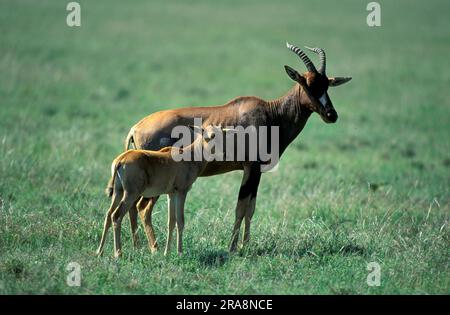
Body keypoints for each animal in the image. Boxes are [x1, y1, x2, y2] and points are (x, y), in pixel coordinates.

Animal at [109, 42, 352, 254]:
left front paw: (244, 244)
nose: (331, 115)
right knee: (142, 208)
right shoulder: (251, 167)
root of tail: (137, 126)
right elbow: (241, 207)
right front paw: (235, 247)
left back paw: (138, 247)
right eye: (307, 83)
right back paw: (154, 248)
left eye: (326, 84)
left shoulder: (256, 170)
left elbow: (251, 208)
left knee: (133, 208)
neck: (270, 113)